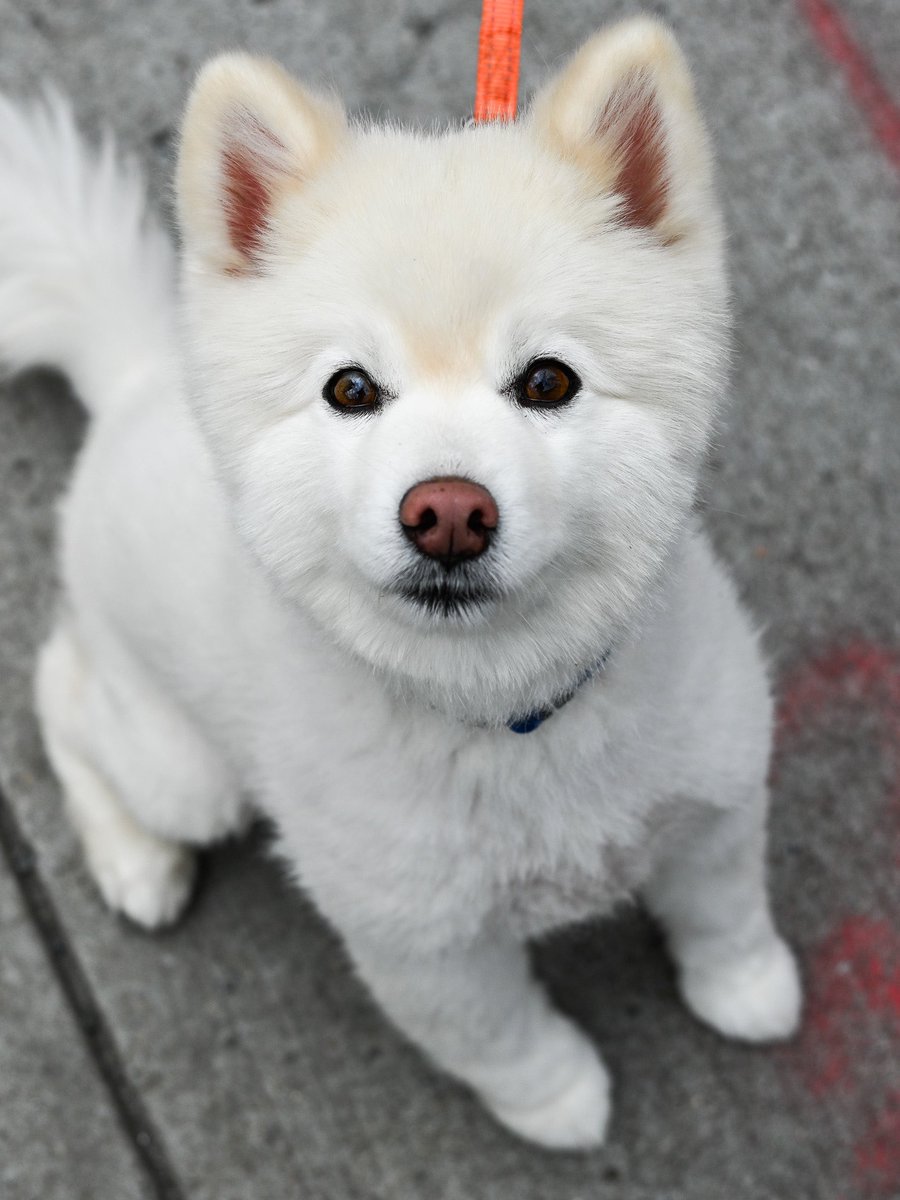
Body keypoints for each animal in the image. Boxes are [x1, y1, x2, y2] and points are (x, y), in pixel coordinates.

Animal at [0, 16, 801, 1142]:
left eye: (547, 380)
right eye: (351, 389)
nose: (449, 513)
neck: (511, 716)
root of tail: (139, 373)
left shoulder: (717, 799)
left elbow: (727, 911)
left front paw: (745, 989)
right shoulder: (424, 946)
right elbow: (499, 1035)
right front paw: (557, 1099)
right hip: (183, 770)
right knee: (64, 692)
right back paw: (135, 860)